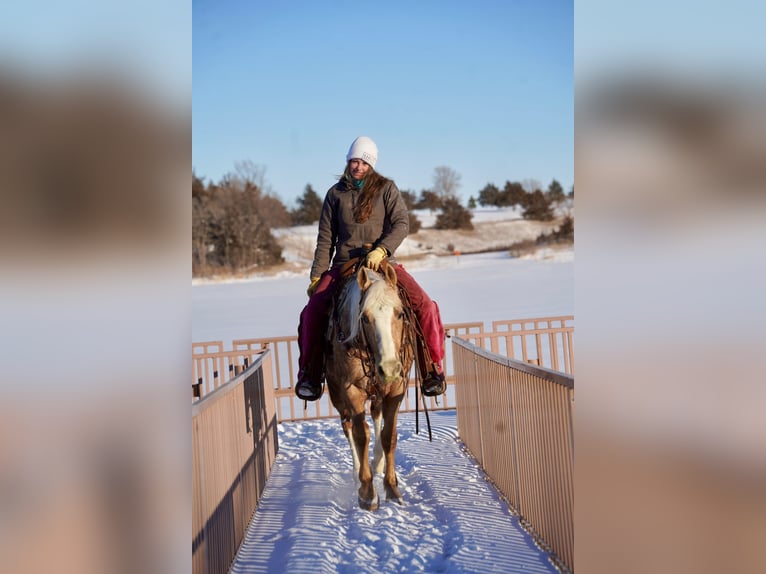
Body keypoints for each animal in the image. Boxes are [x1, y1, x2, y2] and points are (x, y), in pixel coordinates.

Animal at [328, 264, 416, 510]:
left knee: (376, 415)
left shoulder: (396, 388)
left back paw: (377, 463)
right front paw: (367, 492)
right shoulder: (351, 391)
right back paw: (359, 471)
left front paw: (392, 487)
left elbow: (389, 435)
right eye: (365, 319)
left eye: (400, 313)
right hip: (338, 395)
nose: (389, 368)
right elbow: (361, 435)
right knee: (348, 426)